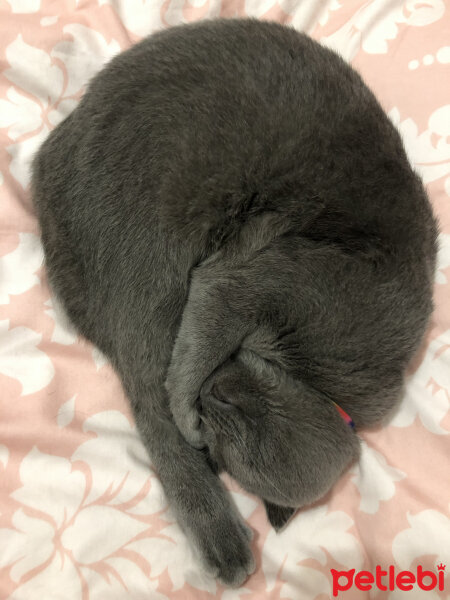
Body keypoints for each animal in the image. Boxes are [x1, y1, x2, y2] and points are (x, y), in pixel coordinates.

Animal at [29, 17, 438, 584]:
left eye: (233, 431)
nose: (211, 398)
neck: (315, 378)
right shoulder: (253, 281)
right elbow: (191, 357)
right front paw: (186, 408)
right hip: (157, 248)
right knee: (152, 398)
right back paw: (223, 541)